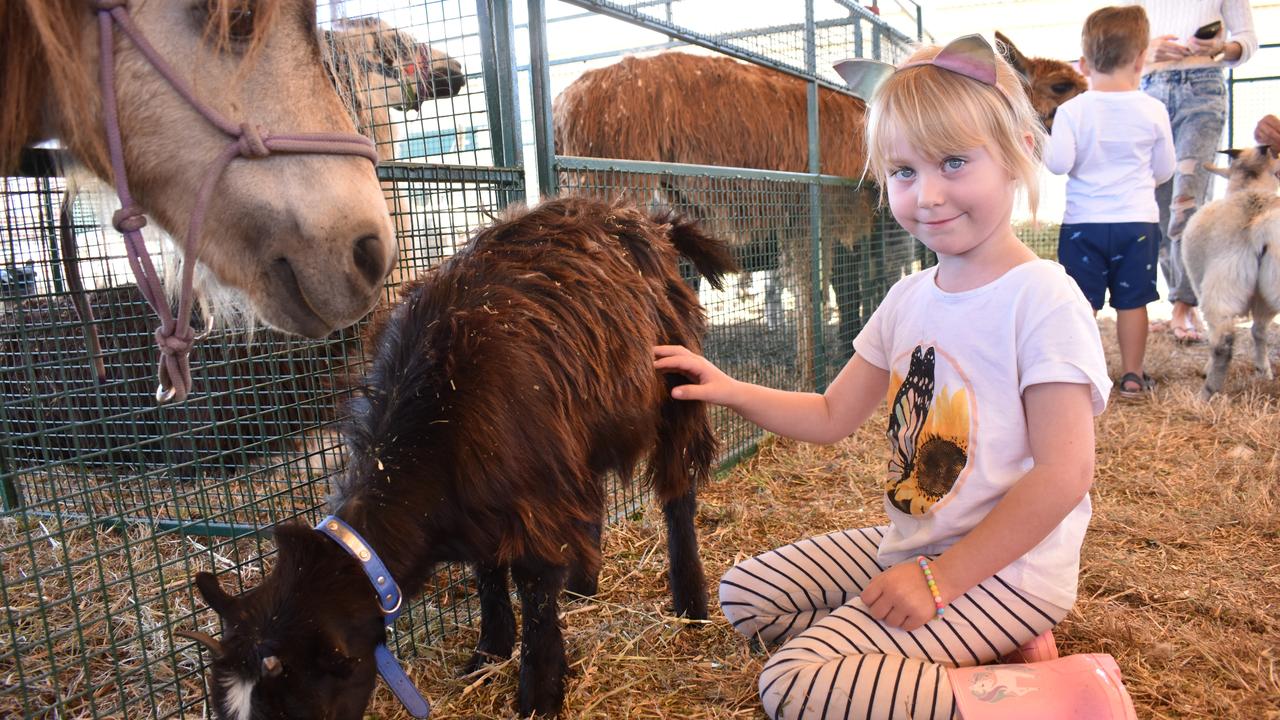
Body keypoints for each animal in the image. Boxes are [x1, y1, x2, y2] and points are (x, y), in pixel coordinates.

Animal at [185, 196, 737, 717]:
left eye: (294, 705)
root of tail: (647, 220)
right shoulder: (488, 494)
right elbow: (487, 573)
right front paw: (488, 654)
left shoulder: (532, 495)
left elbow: (534, 585)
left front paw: (539, 692)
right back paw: (584, 586)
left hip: (676, 389)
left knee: (678, 493)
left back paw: (690, 602)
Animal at [1177, 144, 1280, 397]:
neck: (1250, 188)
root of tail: (1259, 220)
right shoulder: (1263, 302)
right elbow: (1259, 331)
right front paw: (1264, 371)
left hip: (1221, 282)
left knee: (1223, 341)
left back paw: (1207, 393)